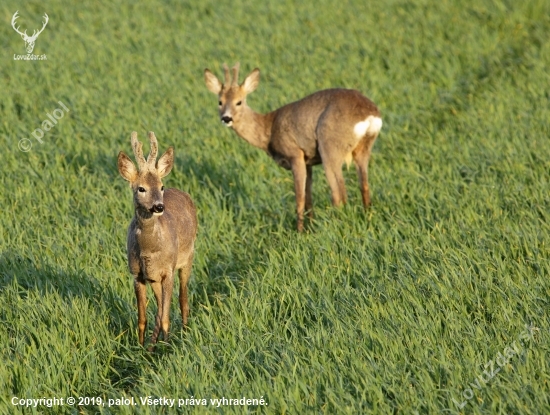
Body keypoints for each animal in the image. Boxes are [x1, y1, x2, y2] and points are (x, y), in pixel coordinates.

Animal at [117, 132, 199, 348]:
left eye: (161, 186)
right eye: (141, 188)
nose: (158, 207)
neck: (149, 249)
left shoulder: (167, 271)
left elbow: (166, 316)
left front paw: (168, 348)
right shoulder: (137, 274)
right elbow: (143, 317)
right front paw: (141, 347)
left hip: (187, 257)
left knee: (183, 298)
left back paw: (184, 331)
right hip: (153, 277)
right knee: (160, 307)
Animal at [204, 62, 384, 232]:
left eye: (239, 102)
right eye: (220, 102)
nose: (226, 118)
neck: (269, 129)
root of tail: (370, 114)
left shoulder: (295, 154)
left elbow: (299, 197)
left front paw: (300, 232)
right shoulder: (308, 160)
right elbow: (309, 197)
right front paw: (311, 226)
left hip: (330, 146)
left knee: (339, 193)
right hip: (363, 148)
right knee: (364, 186)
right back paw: (367, 218)